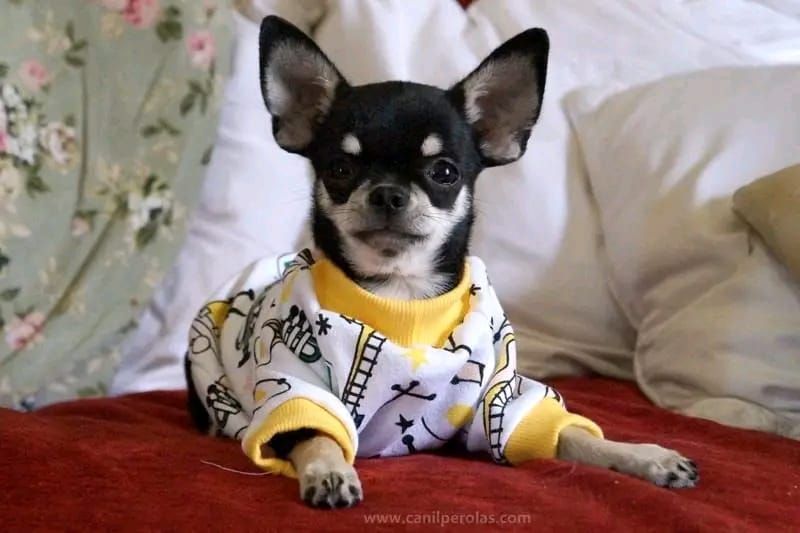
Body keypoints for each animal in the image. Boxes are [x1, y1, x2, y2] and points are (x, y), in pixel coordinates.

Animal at [185, 15, 698, 509]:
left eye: (444, 172)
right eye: (339, 170)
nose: (387, 193)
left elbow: (572, 433)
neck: (402, 294)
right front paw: (329, 472)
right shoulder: (294, 384)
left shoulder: (499, 398)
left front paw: (643, 456)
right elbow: (318, 435)